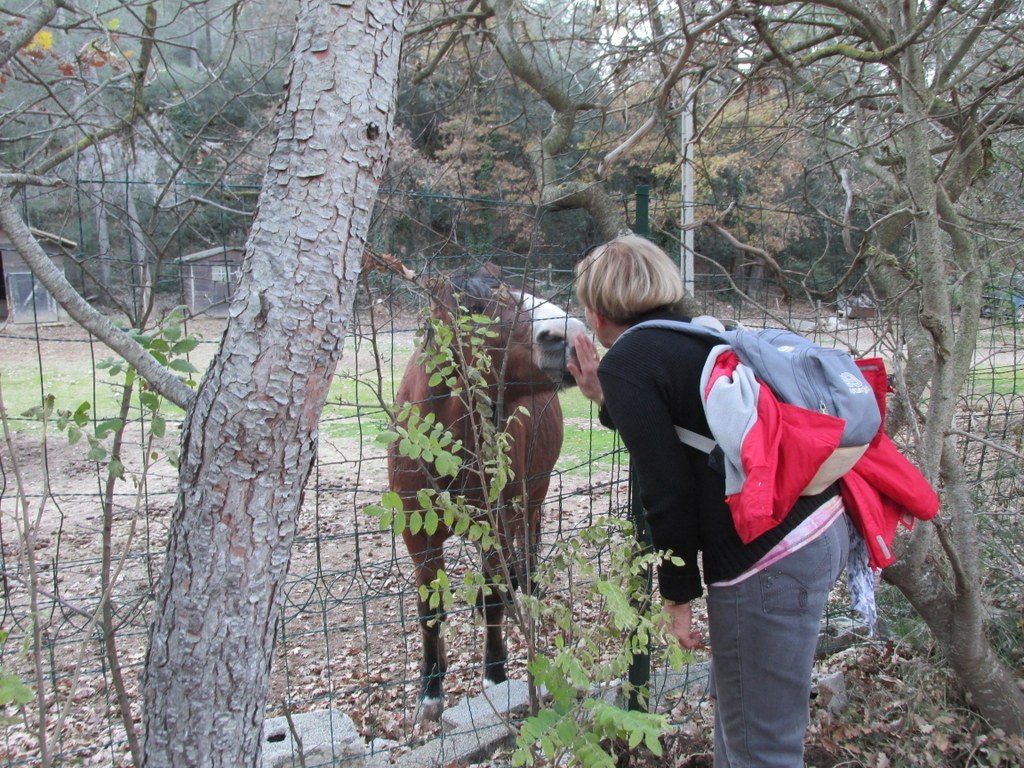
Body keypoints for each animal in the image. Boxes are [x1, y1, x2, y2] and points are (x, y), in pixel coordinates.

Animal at [389, 264, 589, 720]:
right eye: (476, 314)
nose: (570, 334)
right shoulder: (418, 537)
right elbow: (430, 611)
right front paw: (430, 688)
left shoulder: (493, 524)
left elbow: (496, 595)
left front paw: (495, 674)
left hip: (531, 497)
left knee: (527, 545)